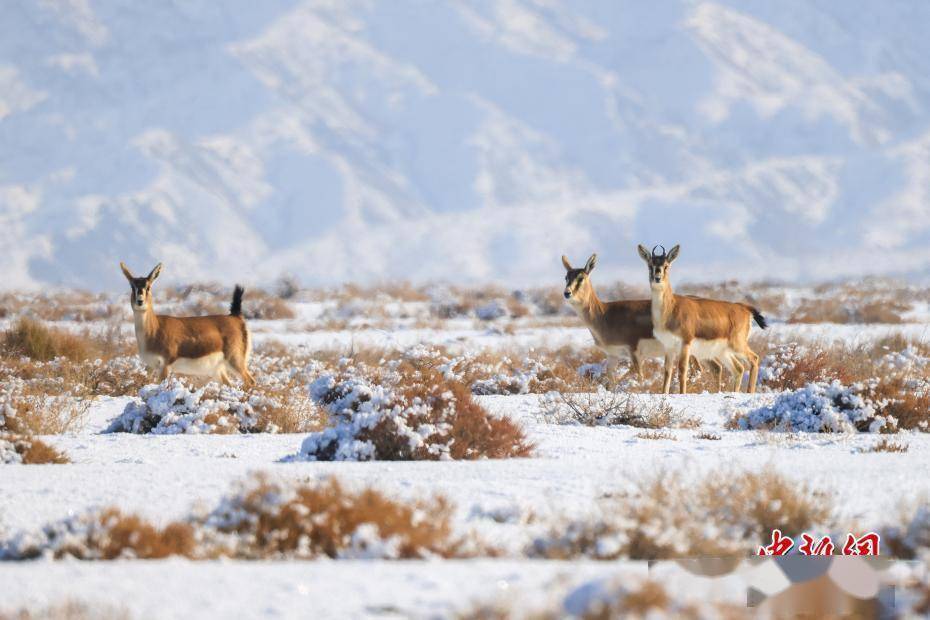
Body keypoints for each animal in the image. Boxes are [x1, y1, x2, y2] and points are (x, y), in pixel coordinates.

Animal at [121, 262, 258, 388]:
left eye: (148, 286)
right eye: (132, 287)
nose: (140, 301)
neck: (154, 330)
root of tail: (235, 316)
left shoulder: (165, 365)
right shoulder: (150, 366)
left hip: (235, 361)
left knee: (250, 381)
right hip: (218, 370)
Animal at [640, 245, 760, 394]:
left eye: (666, 265)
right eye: (650, 265)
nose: (657, 278)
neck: (670, 309)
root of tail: (744, 308)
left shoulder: (685, 343)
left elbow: (682, 370)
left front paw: (682, 393)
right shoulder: (669, 346)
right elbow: (667, 372)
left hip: (737, 345)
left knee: (754, 359)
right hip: (723, 351)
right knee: (738, 368)